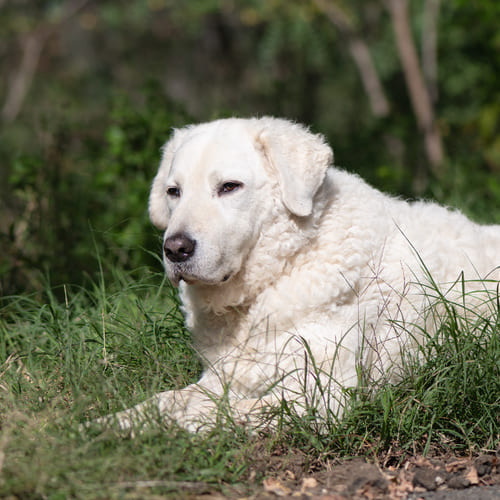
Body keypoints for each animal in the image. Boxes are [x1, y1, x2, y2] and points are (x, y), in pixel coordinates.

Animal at [108, 116, 500, 430]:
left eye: (229, 187)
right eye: (174, 192)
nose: (175, 248)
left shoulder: (322, 394)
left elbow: (213, 413)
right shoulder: (226, 376)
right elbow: (165, 400)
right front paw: (110, 425)